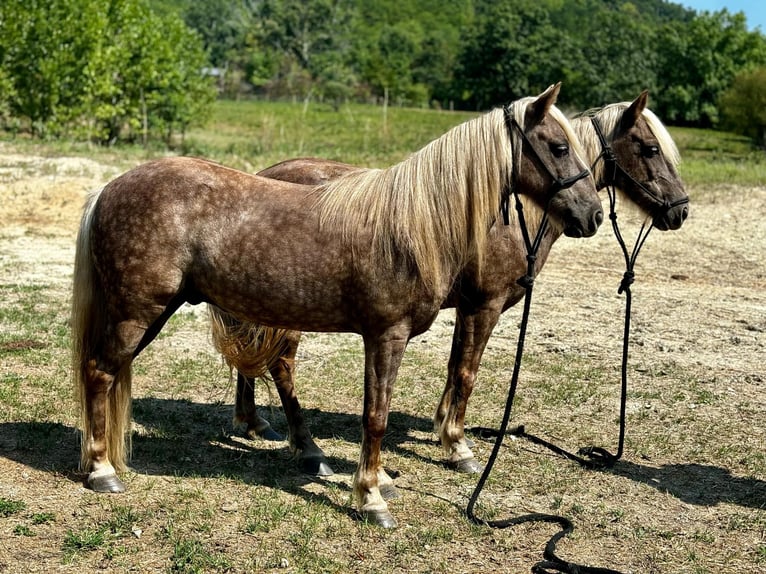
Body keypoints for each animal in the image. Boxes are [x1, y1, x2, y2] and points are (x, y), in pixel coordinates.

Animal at [72, 83, 604, 528]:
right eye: (558, 147)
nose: (593, 214)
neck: (414, 225)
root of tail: (107, 190)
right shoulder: (387, 334)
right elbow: (377, 415)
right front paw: (372, 498)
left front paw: (381, 479)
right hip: (136, 314)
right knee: (99, 373)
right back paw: (100, 470)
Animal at [214, 93, 688, 482]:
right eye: (650, 149)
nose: (680, 210)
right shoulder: (485, 305)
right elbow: (466, 372)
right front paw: (457, 447)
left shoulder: (465, 307)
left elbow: (454, 367)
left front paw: (443, 428)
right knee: (281, 365)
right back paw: (308, 448)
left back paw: (253, 422)